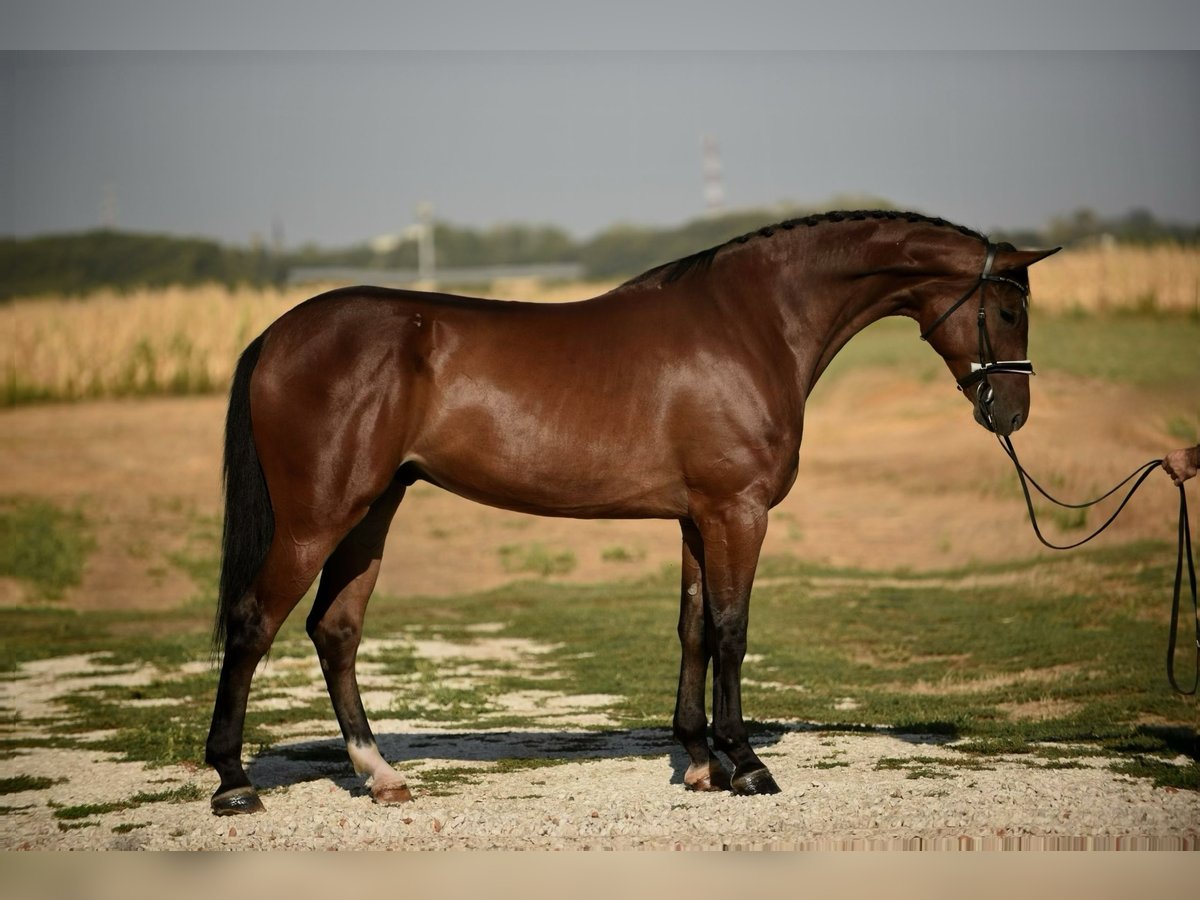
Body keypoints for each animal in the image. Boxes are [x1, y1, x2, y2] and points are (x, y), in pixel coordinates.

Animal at [208, 211, 1060, 816]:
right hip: (319, 517)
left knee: (335, 629)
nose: (1013, 412)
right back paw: (232, 782)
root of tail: (278, 333)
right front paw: (747, 765)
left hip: (373, 510)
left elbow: (693, 628)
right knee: (254, 624)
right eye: (1008, 310)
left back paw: (378, 773)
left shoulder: (696, 518)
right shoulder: (738, 512)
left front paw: (699, 762)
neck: (752, 324)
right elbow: (732, 631)